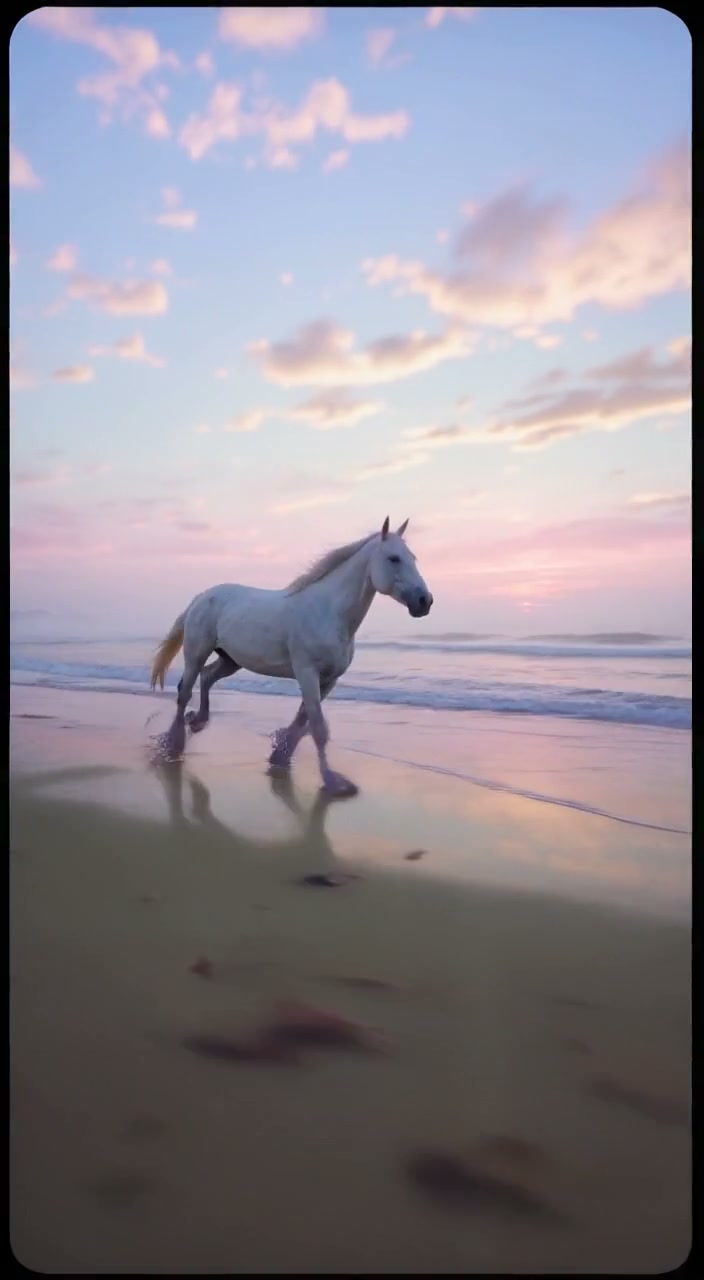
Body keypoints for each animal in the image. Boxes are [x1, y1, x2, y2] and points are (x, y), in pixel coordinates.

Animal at [150, 516, 433, 797]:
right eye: (394, 558)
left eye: (413, 558)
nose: (424, 601)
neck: (329, 613)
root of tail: (202, 597)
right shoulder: (307, 673)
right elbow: (318, 728)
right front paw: (332, 781)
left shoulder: (328, 680)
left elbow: (302, 721)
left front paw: (281, 755)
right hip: (196, 653)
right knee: (184, 692)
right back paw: (174, 744)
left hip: (231, 660)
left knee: (207, 677)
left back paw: (197, 722)